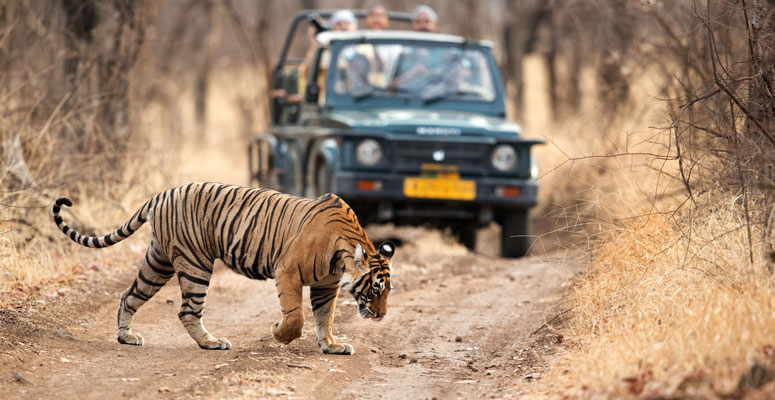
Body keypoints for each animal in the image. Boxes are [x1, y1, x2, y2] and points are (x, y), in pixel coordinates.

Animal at [51, 182, 395, 355]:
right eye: (376, 288)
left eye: (388, 290)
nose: (381, 316)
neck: (342, 254)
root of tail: (162, 194)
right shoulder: (287, 271)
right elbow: (296, 316)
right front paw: (279, 333)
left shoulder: (326, 285)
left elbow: (326, 317)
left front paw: (332, 346)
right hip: (195, 263)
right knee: (187, 310)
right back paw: (211, 343)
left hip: (158, 262)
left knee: (128, 295)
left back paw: (127, 337)